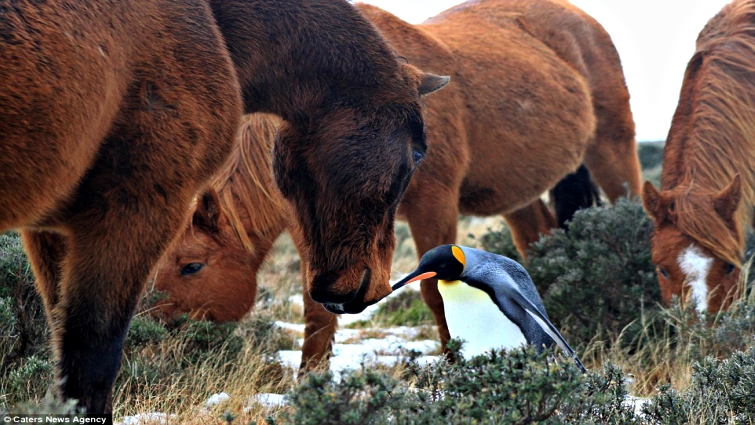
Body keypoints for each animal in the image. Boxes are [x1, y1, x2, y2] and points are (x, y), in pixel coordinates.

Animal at [0, 0, 447, 412]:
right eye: (418, 154)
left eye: (190, 267)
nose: (349, 292)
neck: (215, 28)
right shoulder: (132, 213)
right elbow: (92, 367)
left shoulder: (50, 234)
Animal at [153, 0, 642, 371]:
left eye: (191, 266)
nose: (154, 335)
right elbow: (316, 311)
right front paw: (309, 382)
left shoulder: (433, 207)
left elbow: (433, 293)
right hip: (516, 195)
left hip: (613, 150)